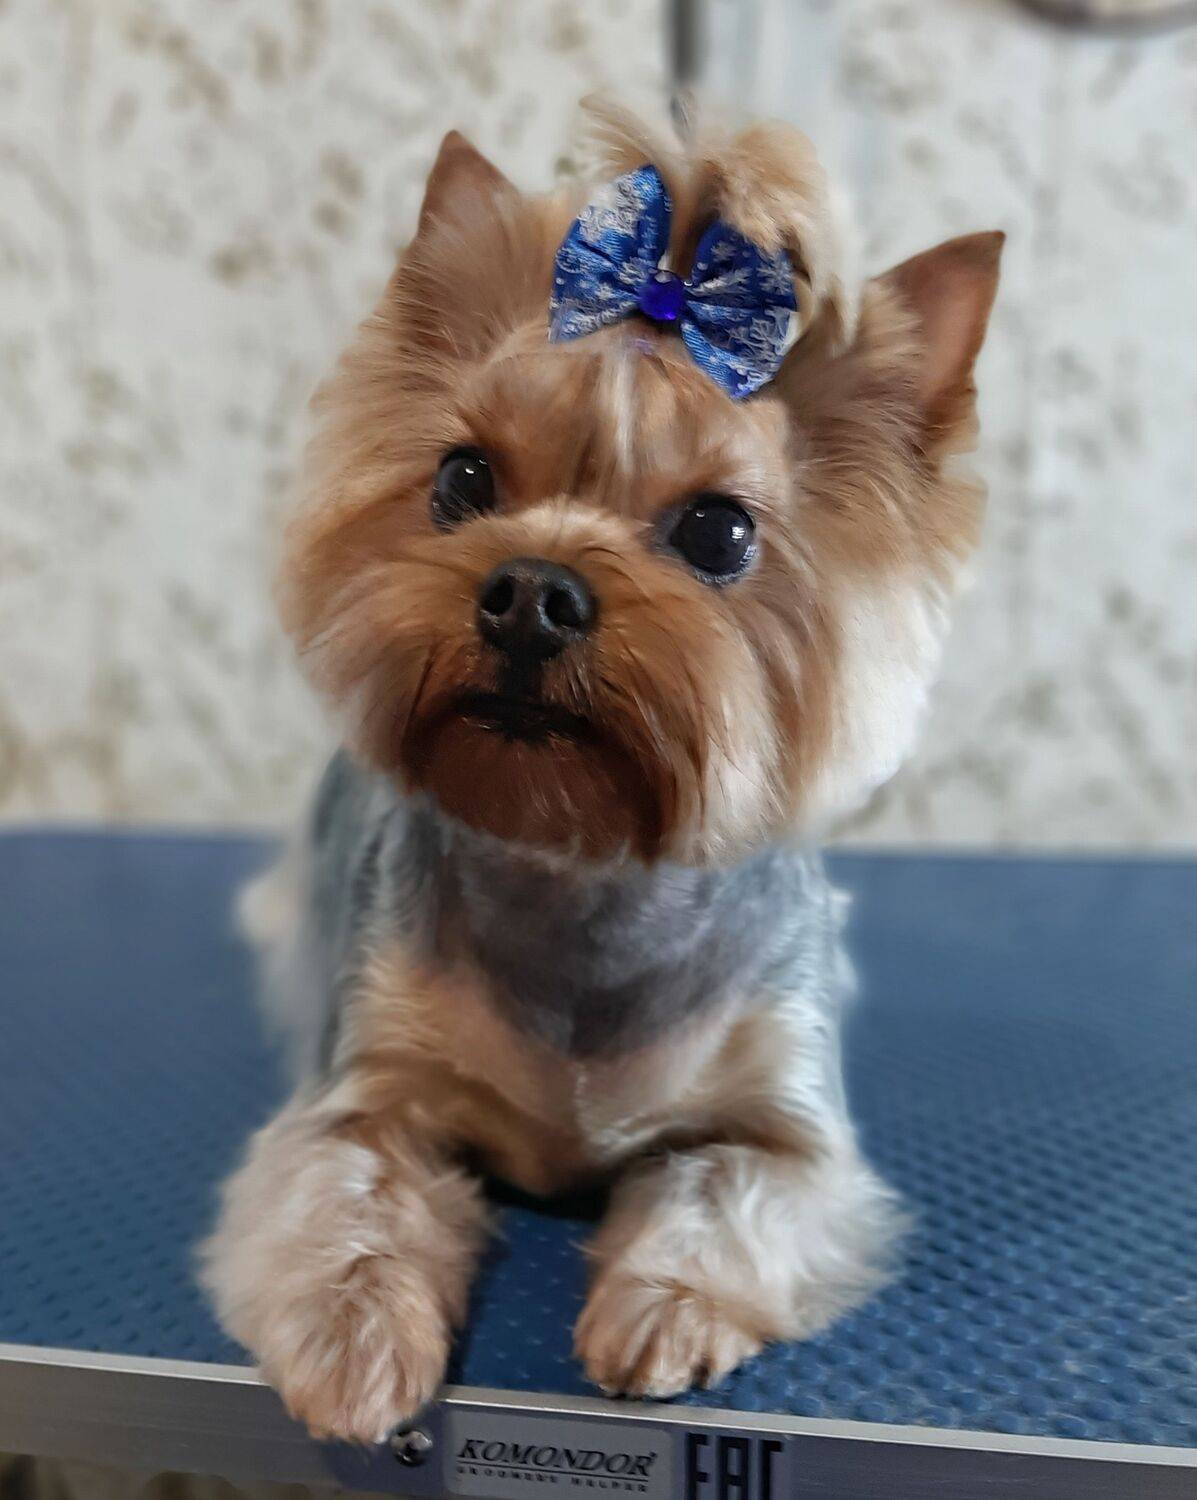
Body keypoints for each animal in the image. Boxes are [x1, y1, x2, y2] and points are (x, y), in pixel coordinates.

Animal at [201, 98, 1002, 1444]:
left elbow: (733, 1188)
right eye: (463, 478)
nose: (531, 588)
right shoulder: (364, 1087)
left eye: (719, 531)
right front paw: (356, 1336)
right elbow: (345, 1194)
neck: (579, 870)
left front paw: (665, 1303)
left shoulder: (795, 1139)